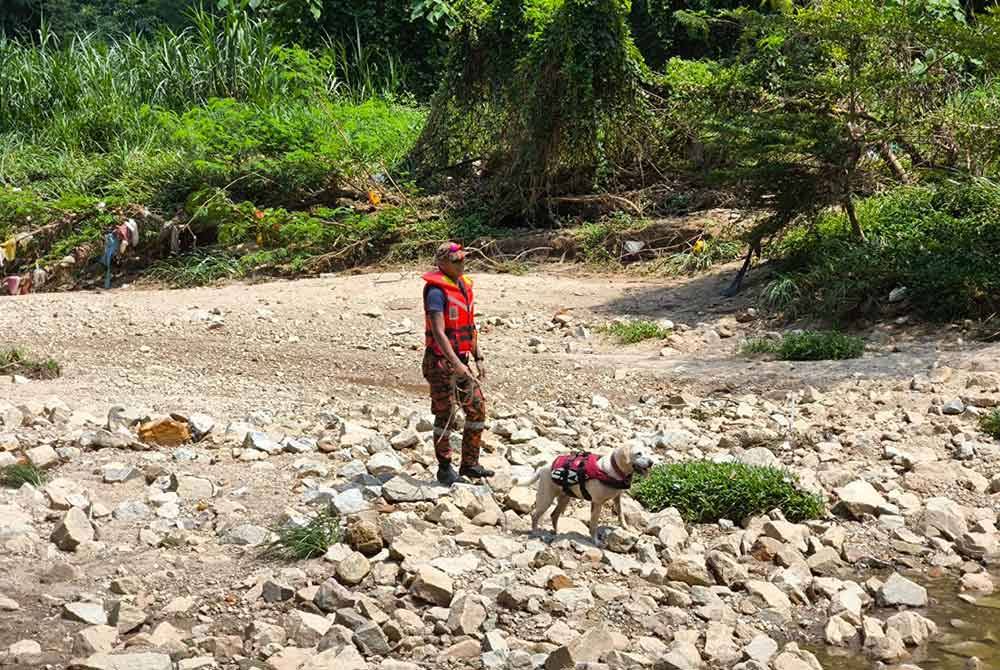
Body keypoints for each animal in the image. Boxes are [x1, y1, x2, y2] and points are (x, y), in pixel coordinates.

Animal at [516, 446, 656, 544]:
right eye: (638, 453)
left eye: (648, 452)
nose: (651, 462)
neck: (614, 470)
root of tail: (542, 468)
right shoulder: (597, 503)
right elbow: (594, 524)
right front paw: (595, 541)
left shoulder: (617, 498)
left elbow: (621, 514)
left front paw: (626, 528)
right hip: (546, 498)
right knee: (535, 515)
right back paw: (535, 532)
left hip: (564, 499)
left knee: (554, 515)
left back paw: (557, 532)